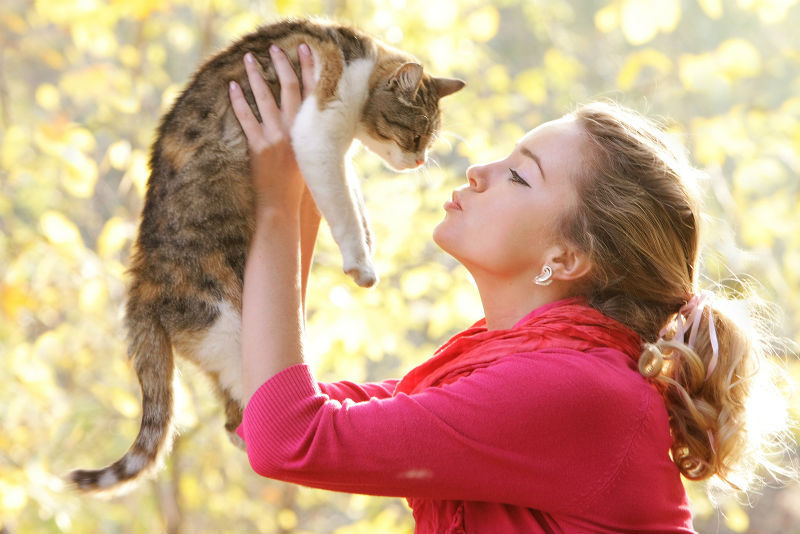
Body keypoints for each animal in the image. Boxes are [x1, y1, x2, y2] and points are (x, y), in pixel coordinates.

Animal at [72, 16, 466, 494]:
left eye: (427, 141)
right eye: (415, 135)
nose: (419, 161)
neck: (356, 56)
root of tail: (142, 283)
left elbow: (354, 197)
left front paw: (369, 243)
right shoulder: (318, 137)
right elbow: (345, 207)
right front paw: (362, 262)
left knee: (235, 419)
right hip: (231, 327)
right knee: (256, 417)